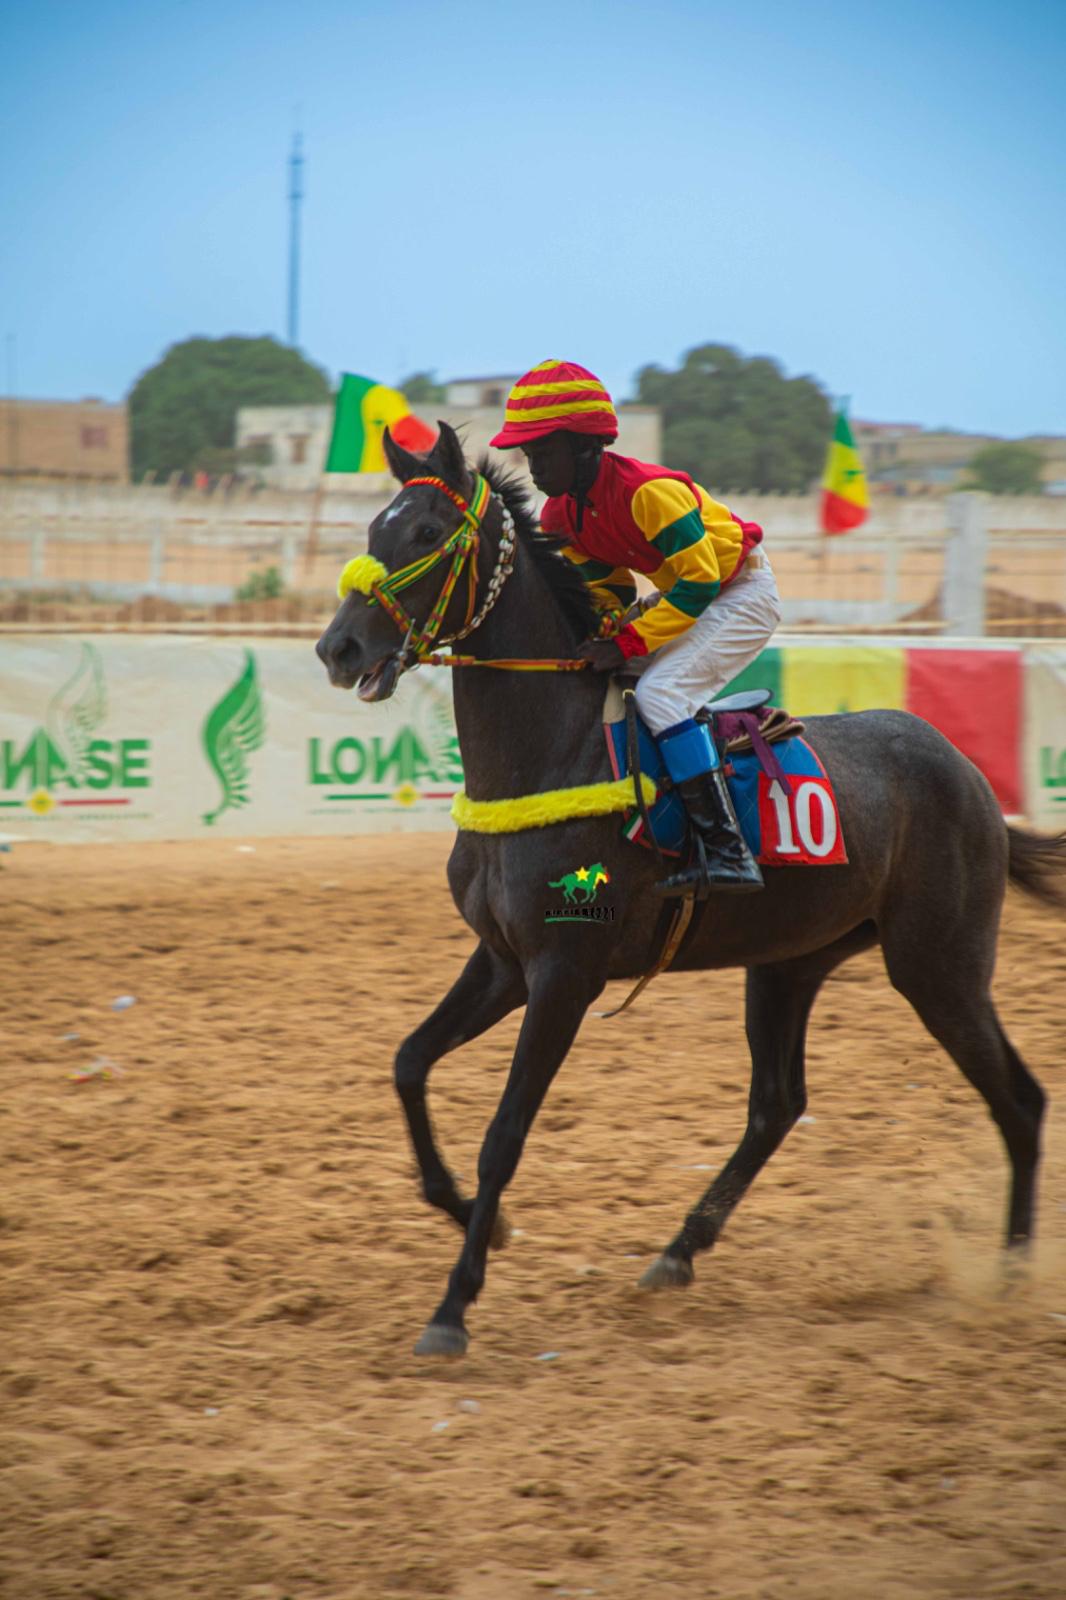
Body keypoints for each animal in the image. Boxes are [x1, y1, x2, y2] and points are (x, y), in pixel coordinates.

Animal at [316, 422, 1065, 1358]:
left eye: (424, 533)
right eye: (373, 529)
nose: (338, 648)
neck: (549, 752)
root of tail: (970, 778)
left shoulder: (565, 971)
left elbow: (504, 1134)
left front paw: (453, 1307)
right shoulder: (502, 961)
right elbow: (409, 1063)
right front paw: (476, 1221)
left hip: (941, 966)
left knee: (1020, 1100)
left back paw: (1011, 1275)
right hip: (790, 963)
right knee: (777, 1104)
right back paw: (678, 1251)